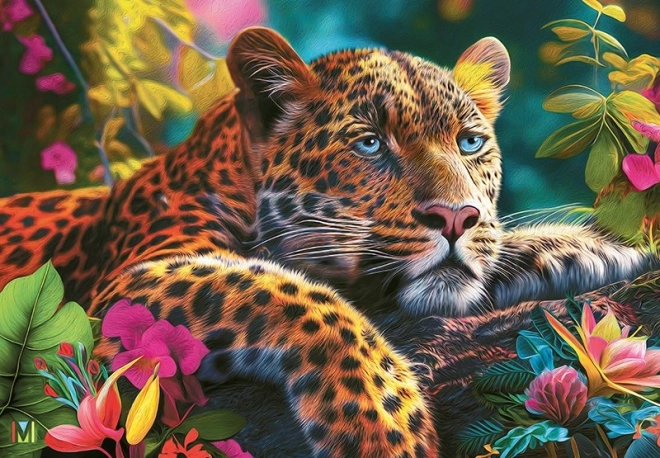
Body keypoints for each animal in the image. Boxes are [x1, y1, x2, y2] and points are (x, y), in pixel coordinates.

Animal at [0, 27, 655, 457]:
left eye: (469, 143)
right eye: (369, 144)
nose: (458, 217)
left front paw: (587, 246)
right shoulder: (120, 291)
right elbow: (289, 293)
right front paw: (387, 426)